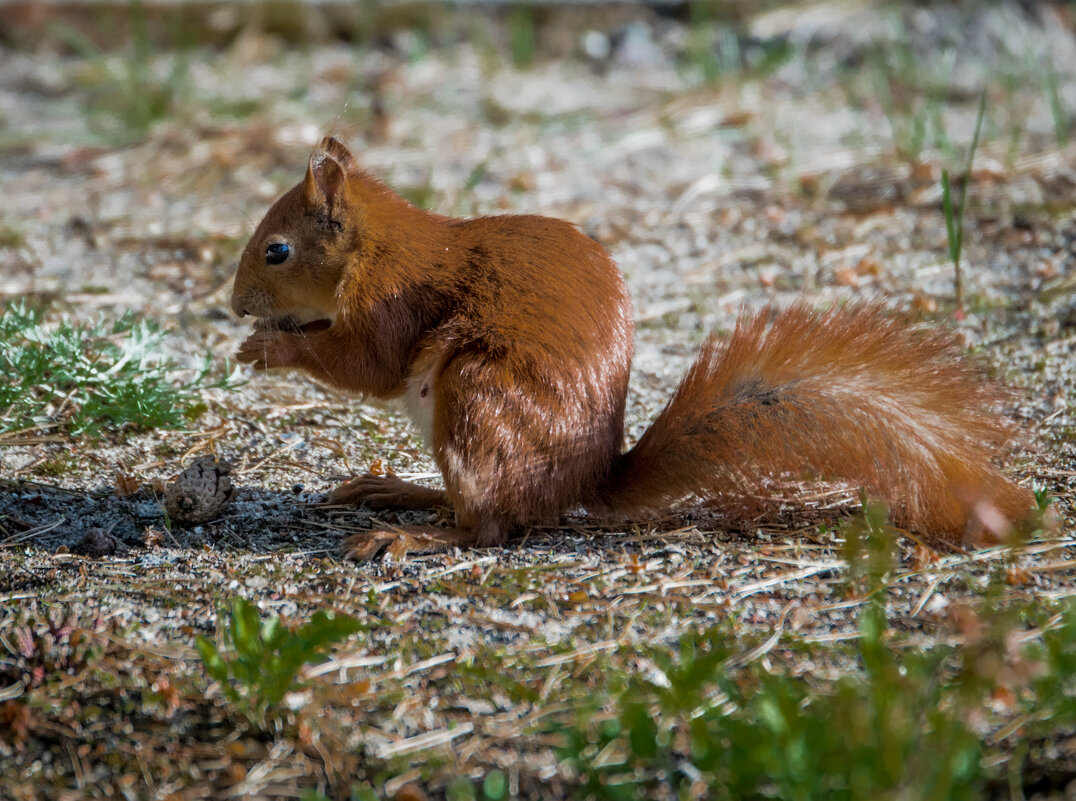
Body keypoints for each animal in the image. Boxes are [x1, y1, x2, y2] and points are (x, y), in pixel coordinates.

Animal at [229, 137, 1032, 559]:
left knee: (489, 526)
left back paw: (408, 532)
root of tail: (582, 480)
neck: (381, 246)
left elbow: (366, 366)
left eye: (276, 250)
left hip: (476, 401)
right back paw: (398, 490)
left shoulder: (394, 304)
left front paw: (266, 349)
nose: (234, 304)